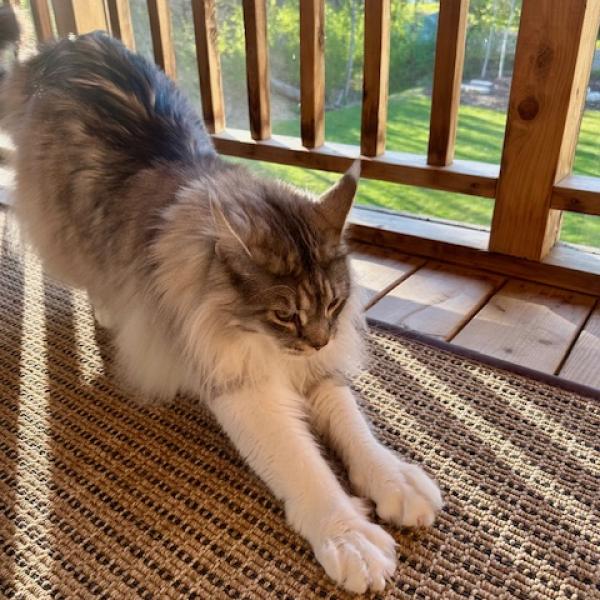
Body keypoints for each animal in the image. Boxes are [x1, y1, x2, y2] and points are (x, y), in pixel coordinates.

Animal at [0, 12, 442, 593]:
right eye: (285, 314)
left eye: (334, 305)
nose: (319, 340)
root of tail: (64, 46)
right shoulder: (245, 390)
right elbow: (307, 468)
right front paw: (349, 537)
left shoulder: (318, 374)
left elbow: (356, 432)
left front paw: (396, 481)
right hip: (69, 229)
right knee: (93, 272)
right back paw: (111, 309)